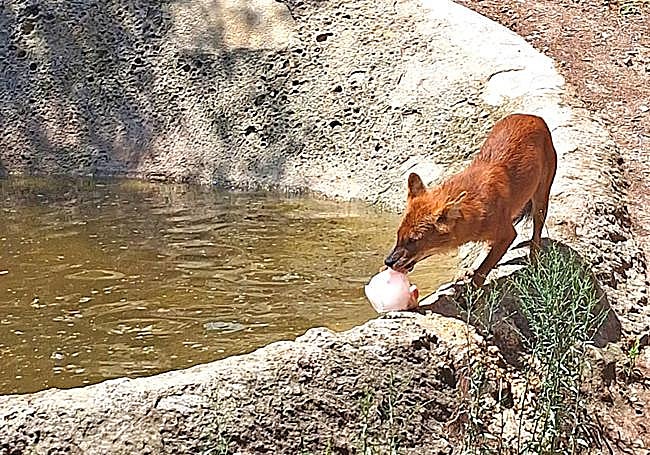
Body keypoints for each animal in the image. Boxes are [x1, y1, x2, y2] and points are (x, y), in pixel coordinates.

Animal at [384, 113, 558, 287]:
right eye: (399, 235)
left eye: (413, 240)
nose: (388, 261)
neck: (475, 204)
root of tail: (533, 116)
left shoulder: (508, 235)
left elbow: (483, 269)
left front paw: (473, 290)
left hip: (541, 200)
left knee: (536, 232)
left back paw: (534, 259)